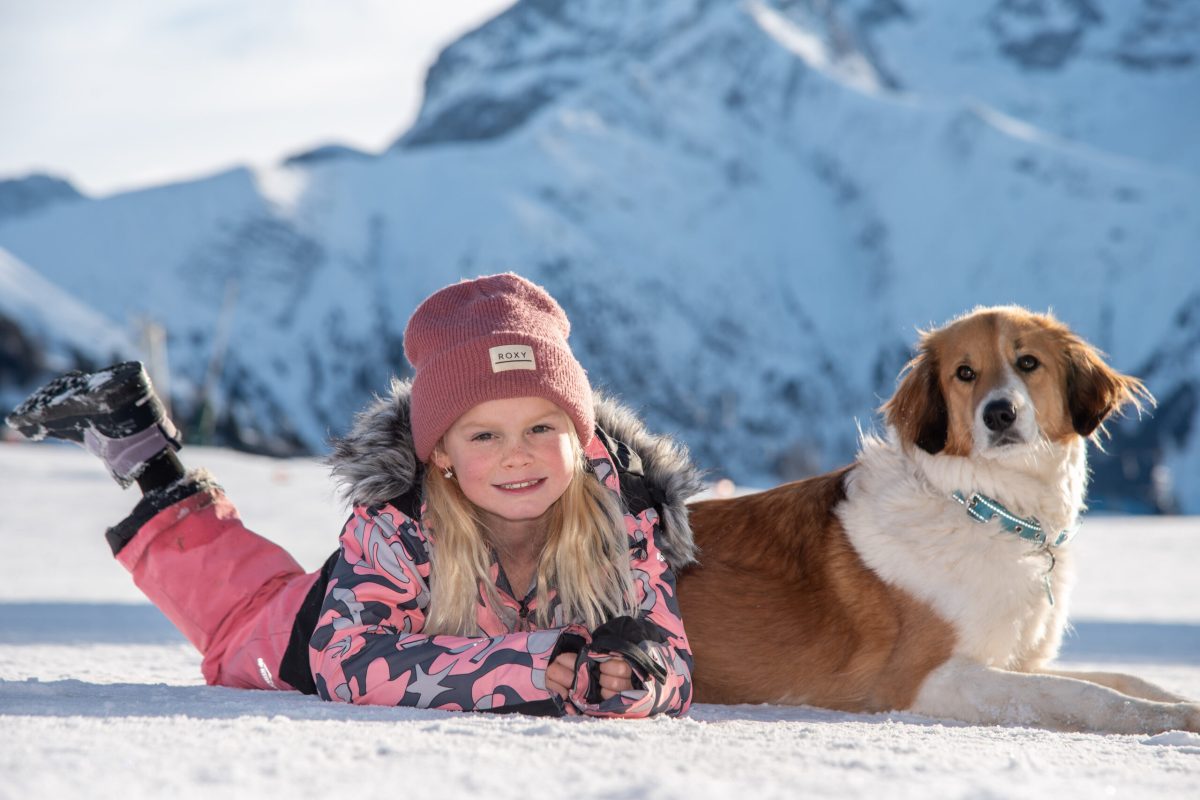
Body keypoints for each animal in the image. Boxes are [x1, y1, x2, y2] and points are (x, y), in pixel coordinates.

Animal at [676, 309, 1200, 738]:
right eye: (964, 373)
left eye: (1028, 362)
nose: (1000, 413)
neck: (985, 506)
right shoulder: (925, 679)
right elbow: (1083, 694)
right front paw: (1168, 719)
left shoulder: (1011, 659)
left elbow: (1121, 677)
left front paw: (1180, 704)